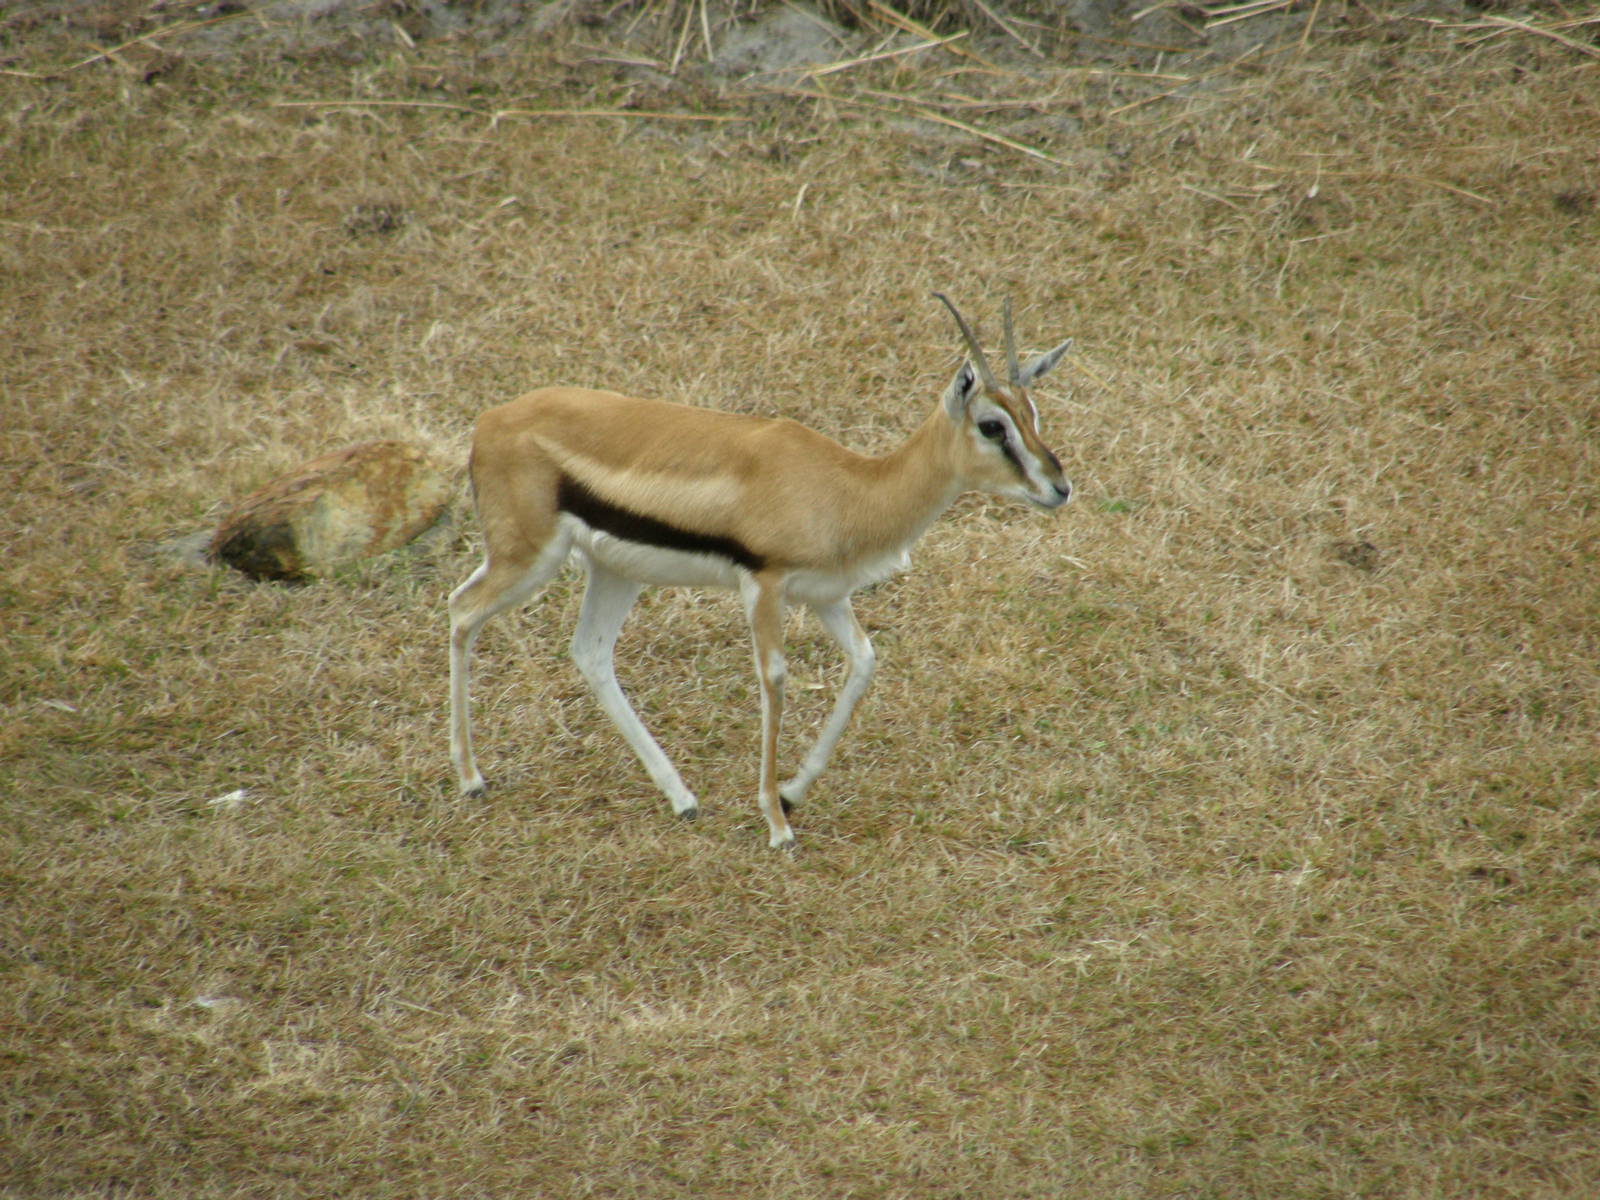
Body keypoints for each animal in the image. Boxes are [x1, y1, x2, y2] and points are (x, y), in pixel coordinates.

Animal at [448, 295, 1073, 849]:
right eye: (992, 426)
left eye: (1032, 414)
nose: (1060, 488)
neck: (850, 489)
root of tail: (488, 422)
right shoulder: (764, 587)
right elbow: (774, 680)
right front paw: (777, 824)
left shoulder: (827, 596)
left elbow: (865, 663)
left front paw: (794, 794)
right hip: (528, 558)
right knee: (462, 610)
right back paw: (471, 778)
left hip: (613, 572)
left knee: (590, 653)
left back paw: (682, 798)